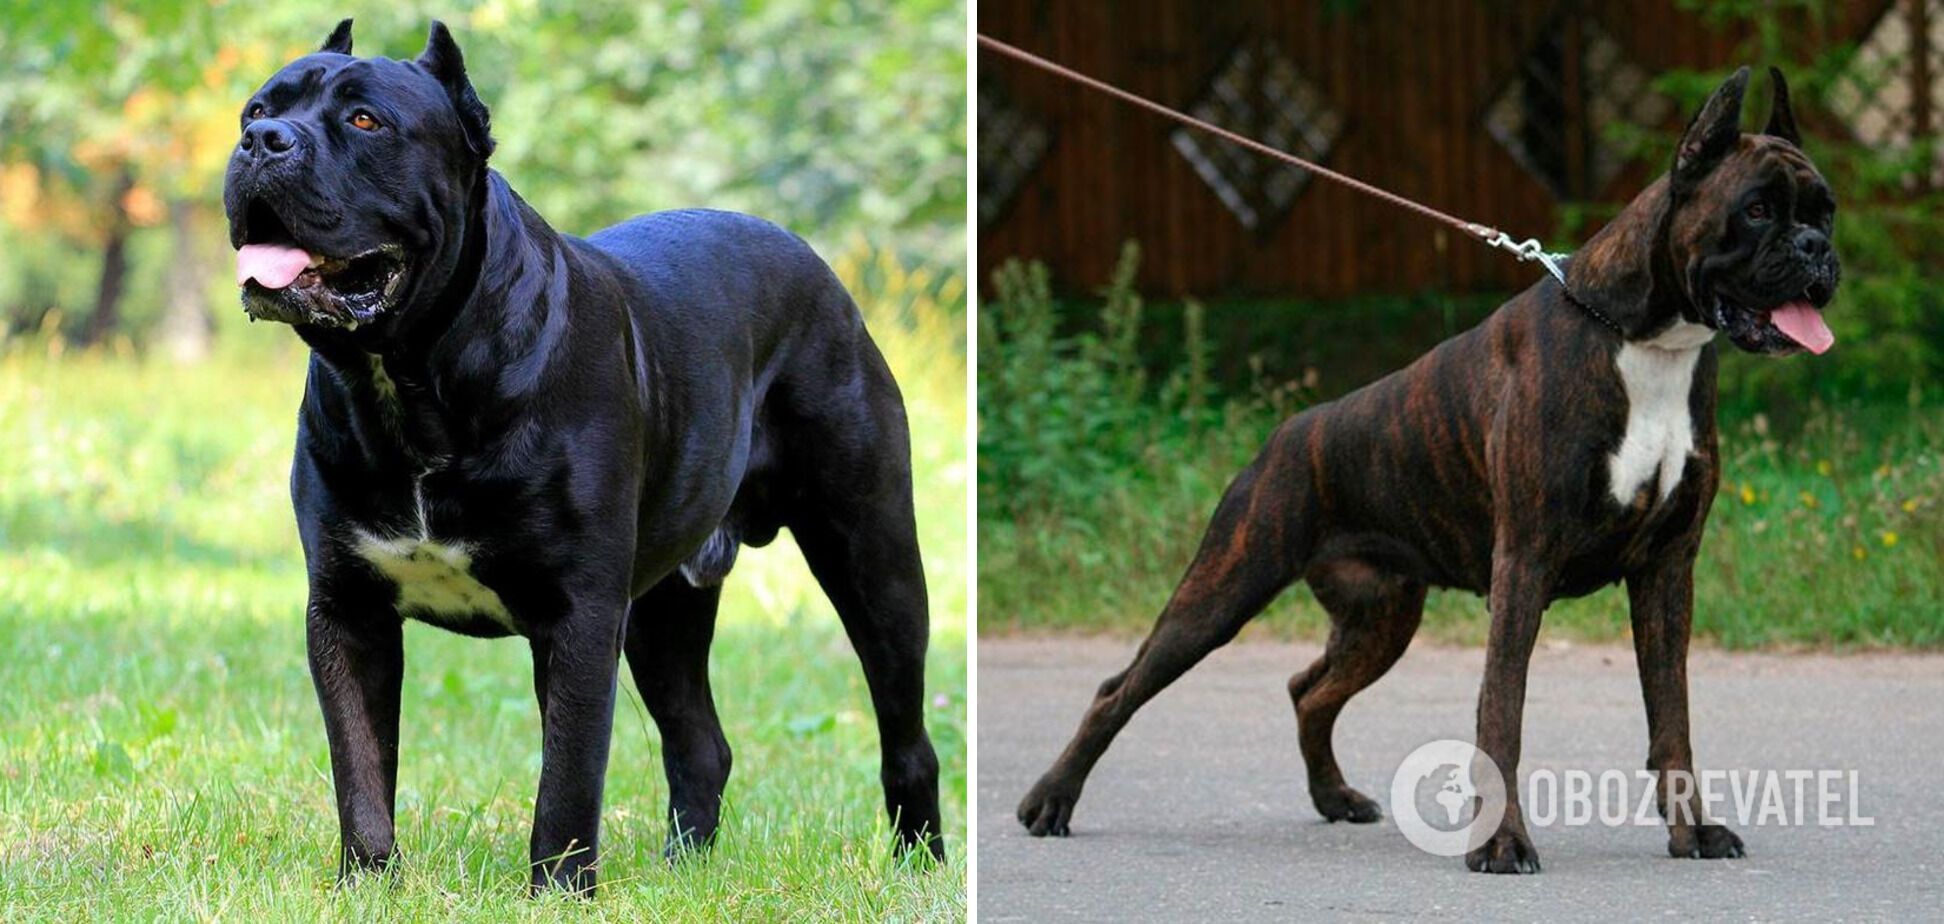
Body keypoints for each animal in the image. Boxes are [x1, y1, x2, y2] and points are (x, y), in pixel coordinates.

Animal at [223, 19, 944, 890]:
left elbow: (566, 778)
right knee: (700, 742)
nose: (262, 142)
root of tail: (826, 277)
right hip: (664, 610)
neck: (407, 377)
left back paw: (920, 862)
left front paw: (559, 891)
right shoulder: (348, 611)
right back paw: (684, 871)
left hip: (872, 556)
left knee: (906, 732)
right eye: (257, 109)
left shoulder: (578, 615)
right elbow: (360, 768)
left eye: (366, 121)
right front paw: (366, 885)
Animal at [1018, 67, 1835, 875]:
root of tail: (1287, 432)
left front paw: (1692, 832)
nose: (1818, 248)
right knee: (1119, 688)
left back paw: (1335, 797)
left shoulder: (1667, 570)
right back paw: (1051, 801)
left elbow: (1672, 719)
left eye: (1825, 212)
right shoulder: (1525, 564)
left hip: (1382, 614)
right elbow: (1501, 712)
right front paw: (1501, 845)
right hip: (1224, 587)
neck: (1645, 341)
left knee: (1308, 690)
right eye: (1758, 210)